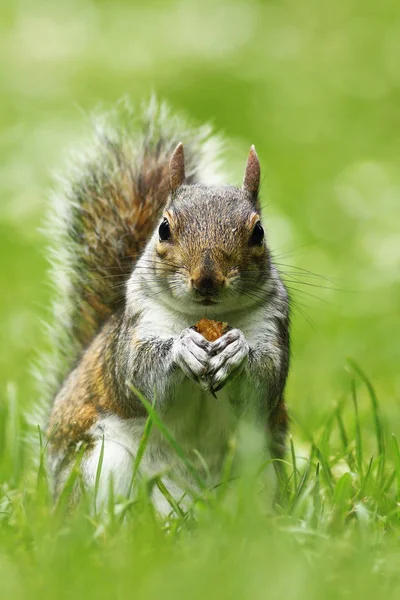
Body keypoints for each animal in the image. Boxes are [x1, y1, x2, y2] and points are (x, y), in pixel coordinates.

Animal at [42, 101, 290, 512]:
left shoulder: (273, 325)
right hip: (101, 462)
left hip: (260, 470)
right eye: (164, 229)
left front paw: (236, 350)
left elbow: (265, 382)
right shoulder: (136, 327)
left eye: (258, 232)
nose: (207, 279)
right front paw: (181, 349)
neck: (205, 317)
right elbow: (137, 377)